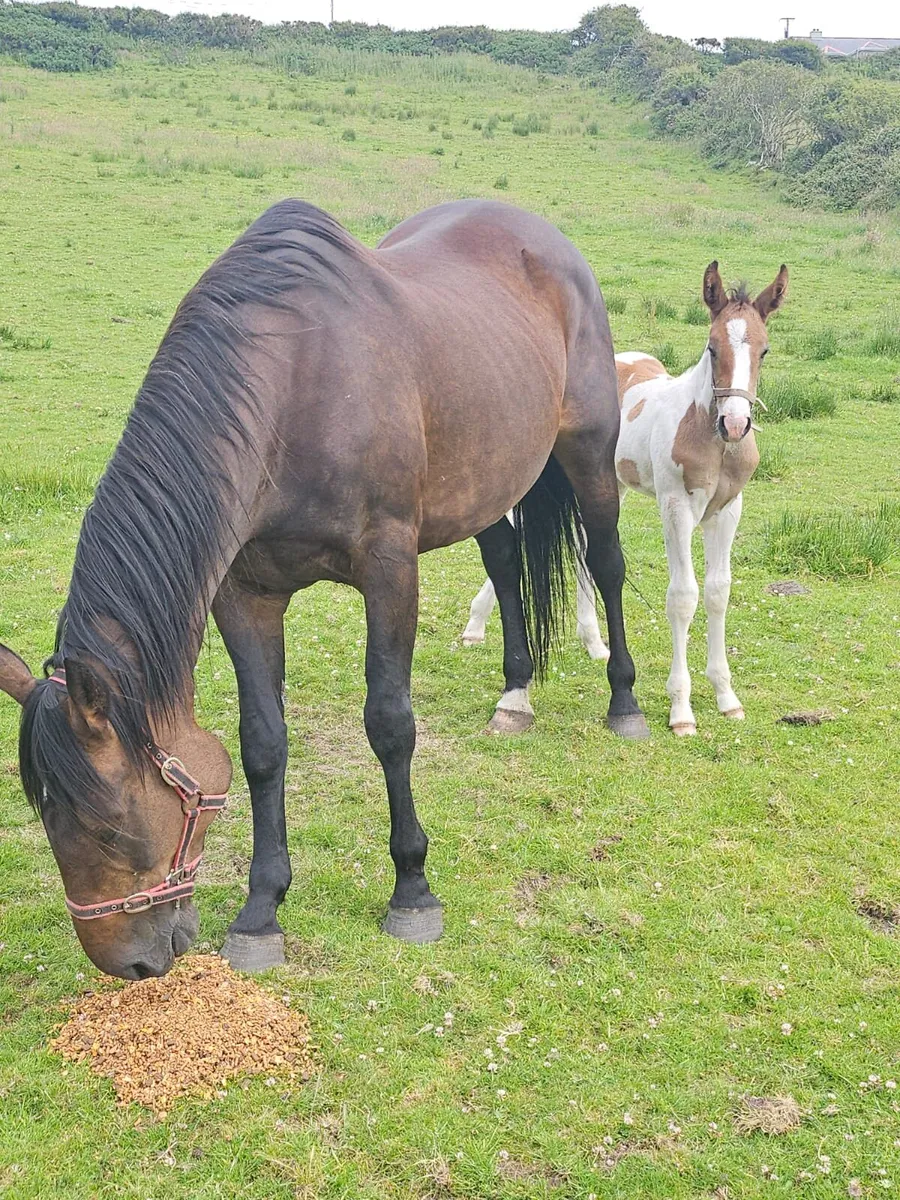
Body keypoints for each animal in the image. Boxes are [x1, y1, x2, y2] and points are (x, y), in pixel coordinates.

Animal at [0, 198, 648, 981]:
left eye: (107, 825)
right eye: (44, 820)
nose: (131, 965)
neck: (290, 393)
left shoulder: (391, 571)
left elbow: (391, 723)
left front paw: (412, 890)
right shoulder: (244, 595)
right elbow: (262, 743)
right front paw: (260, 910)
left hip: (589, 453)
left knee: (607, 565)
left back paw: (625, 702)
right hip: (487, 482)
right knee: (502, 564)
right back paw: (515, 695)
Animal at [462, 261, 788, 735]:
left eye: (763, 351)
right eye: (711, 349)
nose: (735, 423)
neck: (707, 436)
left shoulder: (727, 512)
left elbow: (717, 592)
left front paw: (726, 697)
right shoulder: (676, 507)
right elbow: (683, 596)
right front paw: (681, 710)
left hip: (603, 483)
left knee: (582, 548)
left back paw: (594, 641)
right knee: (521, 537)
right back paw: (475, 625)